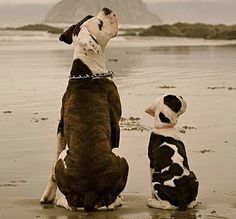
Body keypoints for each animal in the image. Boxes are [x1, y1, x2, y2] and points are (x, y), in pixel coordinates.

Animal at [40, 7, 129, 211]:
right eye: (100, 24)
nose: (106, 9)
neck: (87, 71)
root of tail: (89, 194)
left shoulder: (61, 126)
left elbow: (52, 168)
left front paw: (48, 195)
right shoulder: (116, 123)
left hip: (64, 159)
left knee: (71, 202)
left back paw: (61, 201)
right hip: (120, 153)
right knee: (109, 201)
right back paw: (118, 200)